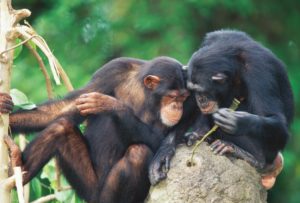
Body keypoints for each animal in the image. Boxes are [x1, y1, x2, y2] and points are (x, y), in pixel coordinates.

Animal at [0, 56, 189, 203]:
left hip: (101, 194)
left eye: (183, 97)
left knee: (138, 153)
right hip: (87, 186)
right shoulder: (112, 69)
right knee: (61, 127)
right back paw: (17, 168)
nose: (177, 107)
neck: (145, 92)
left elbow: (162, 141)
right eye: (172, 96)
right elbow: (67, 107)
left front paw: (110, 105)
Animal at [149, 29, 294, 190]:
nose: (200, 99)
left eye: (203, 90)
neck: (236, 65)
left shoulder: (259, 69)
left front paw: (237, 121)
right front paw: (164, 152)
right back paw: (200, 134)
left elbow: (276, 120)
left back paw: (251, 156)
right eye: (194, 90)